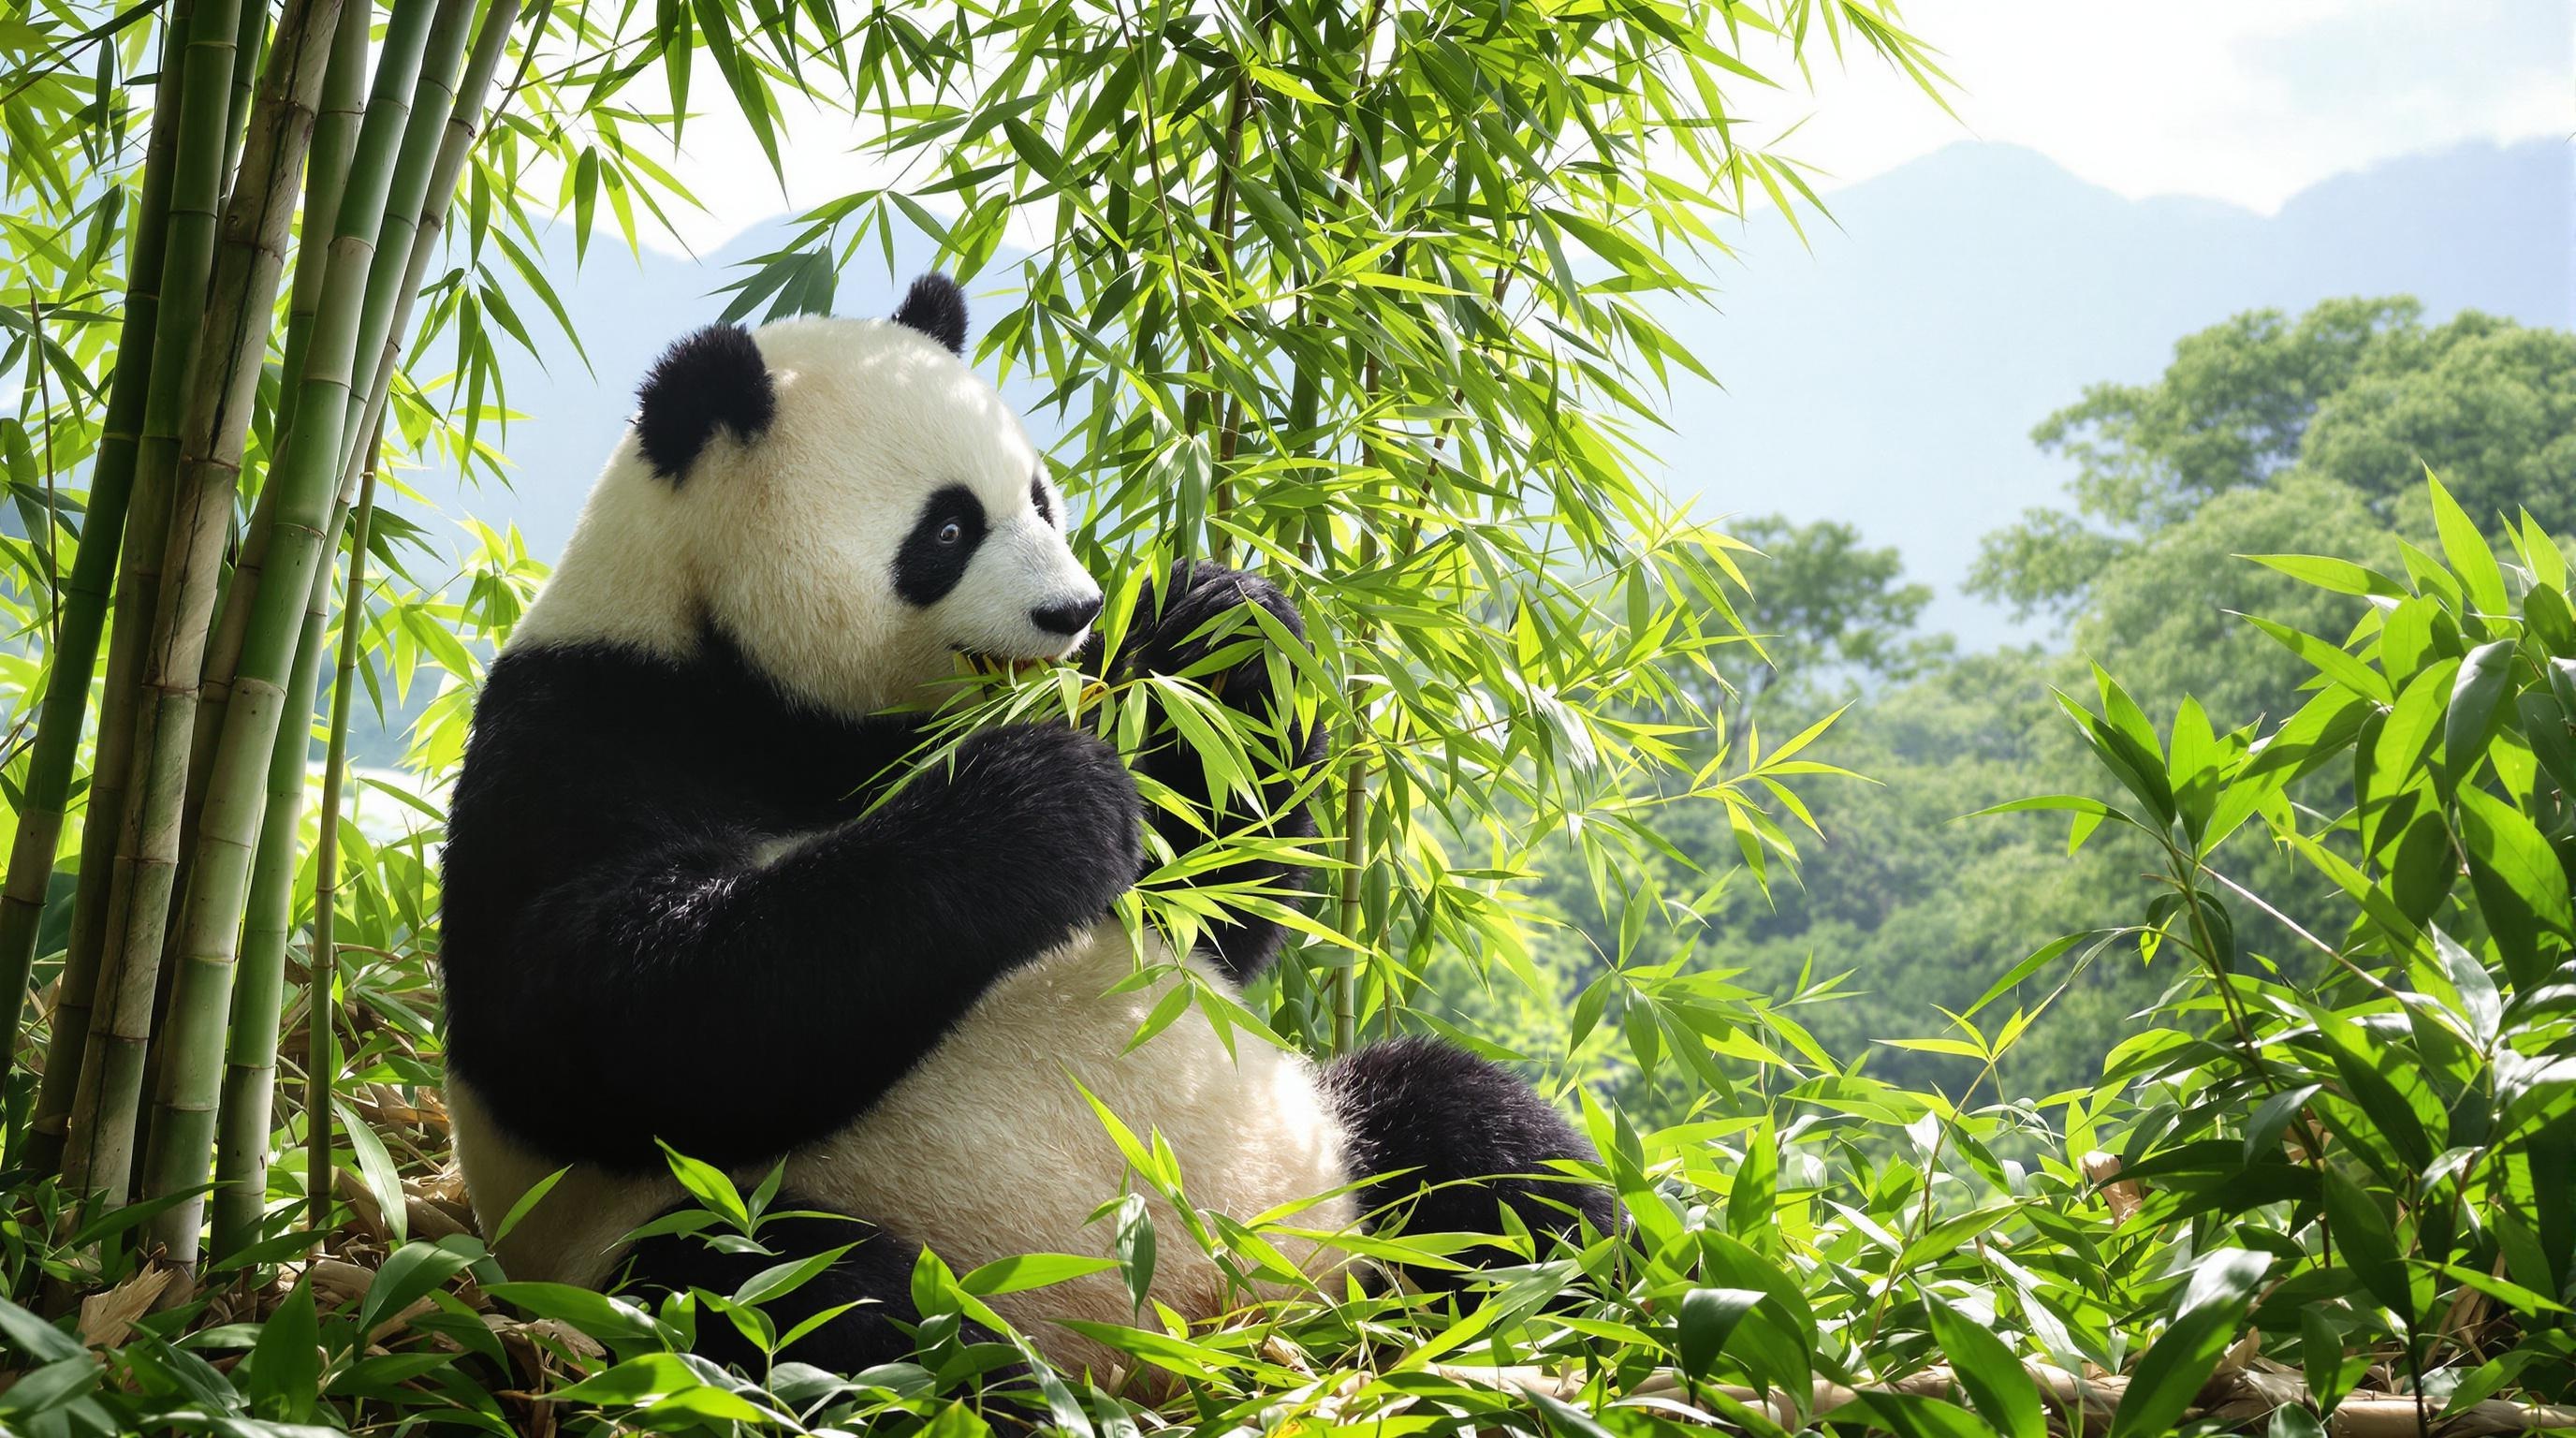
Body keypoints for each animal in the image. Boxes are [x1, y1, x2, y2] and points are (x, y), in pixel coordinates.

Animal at [438, 274, 1614, 1379]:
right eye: (950, 529)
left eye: (1042, 501)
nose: (1074, 611)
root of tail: (1230, 1325)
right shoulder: (585, 733)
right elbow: (608, 1014)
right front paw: (1044, 806)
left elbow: (1208, 898)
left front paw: (1220, 623)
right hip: (710, 1239)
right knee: (805, 1302)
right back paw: (994, 1378)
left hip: (1332, 1159)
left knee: (1476, 1137)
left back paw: (1587, 1301)